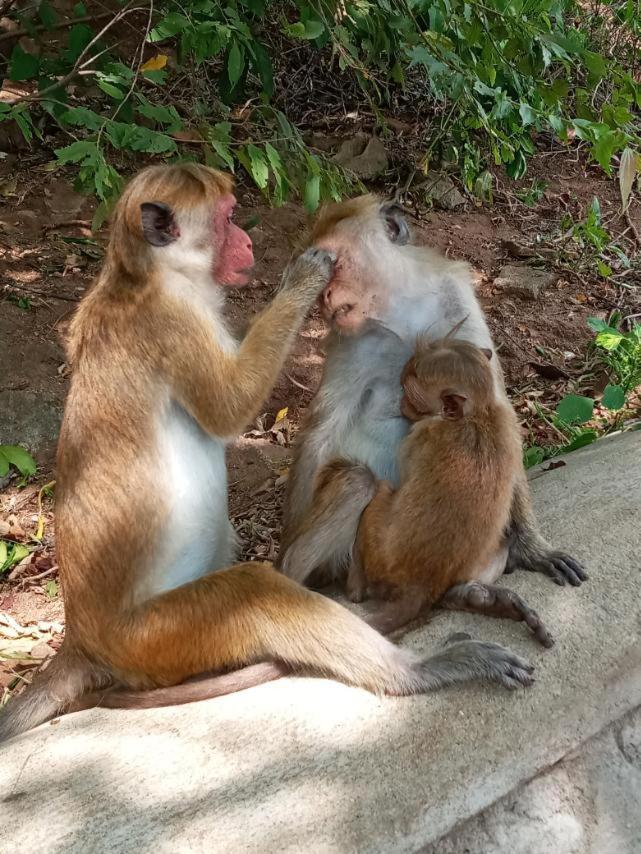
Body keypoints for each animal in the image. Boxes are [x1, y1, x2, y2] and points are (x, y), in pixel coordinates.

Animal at [348, 336, 552, 648]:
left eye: (409, 391)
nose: (402, 403)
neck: (476, 414)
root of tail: (421, 583)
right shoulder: (509, 421)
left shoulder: (418, 436)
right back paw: (475, 598)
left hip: (378, 552)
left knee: (379, 492)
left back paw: (356, 584)